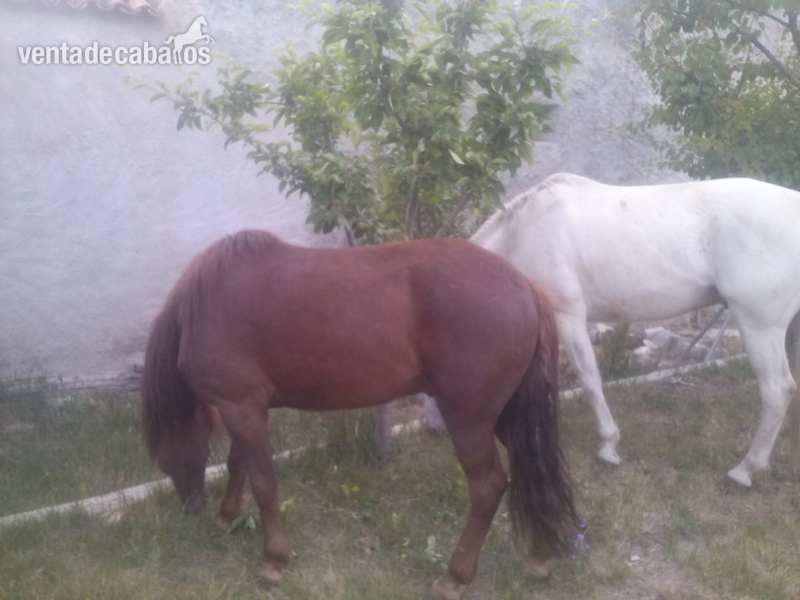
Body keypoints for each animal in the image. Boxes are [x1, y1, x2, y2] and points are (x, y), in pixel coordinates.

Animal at [140, 230, 578, 600]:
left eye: (164, 458)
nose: (190, 506)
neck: (203, 306)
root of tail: (526, 286)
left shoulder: (241, 406)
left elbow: (263, 482)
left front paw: (273, 561)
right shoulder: (245, 408)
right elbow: (239, 465)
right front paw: (225, 518)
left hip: (469, 421)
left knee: (488, 487)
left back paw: (454, 577)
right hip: (506, 417)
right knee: (531, 468)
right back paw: (538, 557)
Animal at [443, 172, 800, 487]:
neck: (525, 233)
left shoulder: (567, 315)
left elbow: (589, 380)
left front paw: (607, 445)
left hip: (759, 326)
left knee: (777, 391)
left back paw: (745, 470)